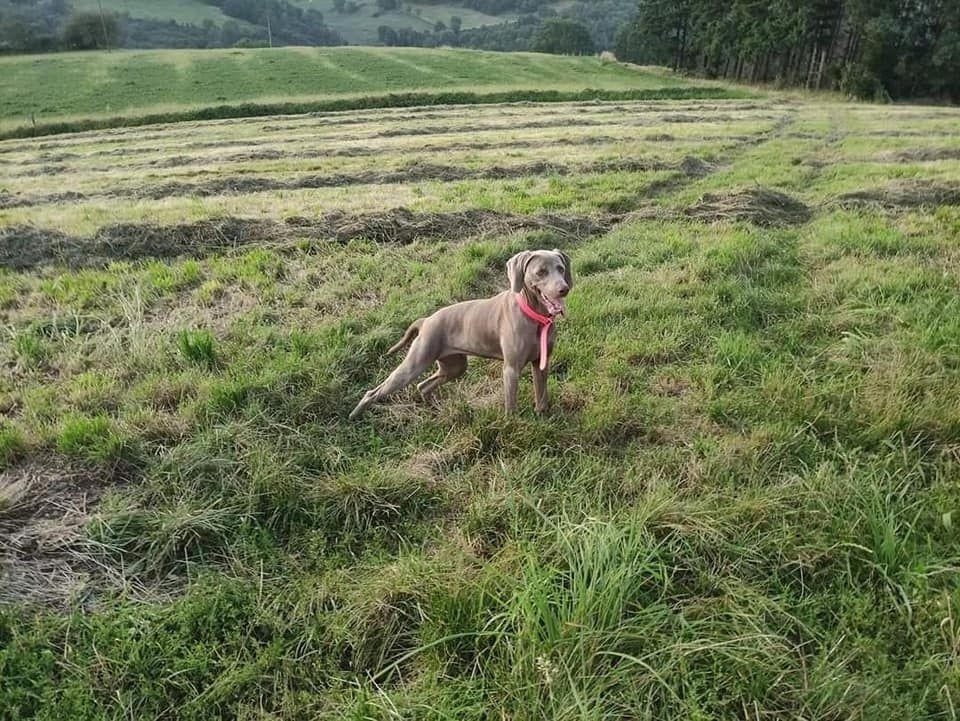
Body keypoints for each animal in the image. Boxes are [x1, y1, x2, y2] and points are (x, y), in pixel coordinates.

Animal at [350, 248, 568, 416]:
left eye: (561, 269)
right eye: (541, 272)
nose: (564, 289)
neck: (536, 317)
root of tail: (426, 321)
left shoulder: (541, 362)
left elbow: (541, 396)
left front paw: (543, 418)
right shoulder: (511, 369)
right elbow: (511, 407)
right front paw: (511, 426)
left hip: (454, 366)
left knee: (423, 385)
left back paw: (435, 409)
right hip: (415, 364)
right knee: (374, 392)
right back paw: (355, 415)